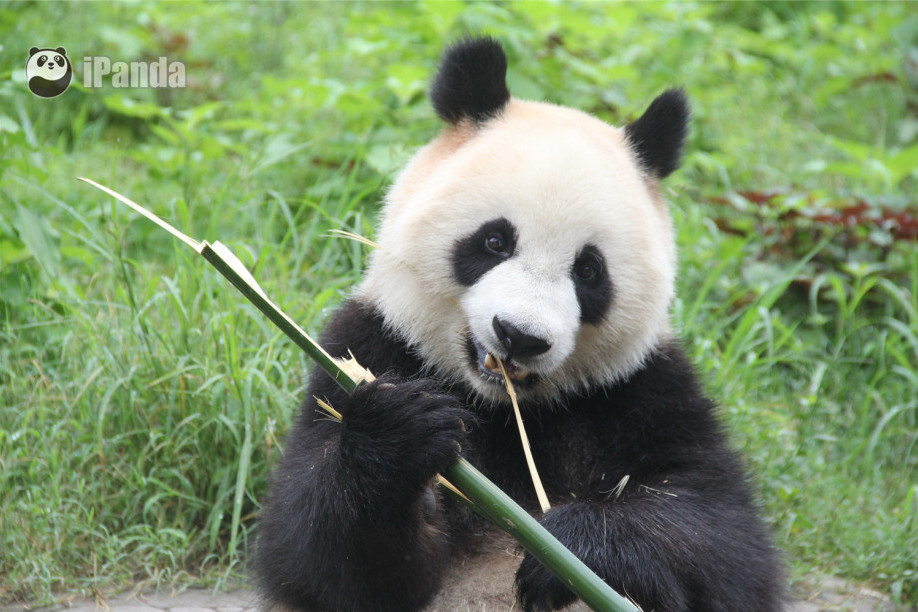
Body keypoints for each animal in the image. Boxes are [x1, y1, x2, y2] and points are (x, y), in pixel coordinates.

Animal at [252, 37, 784, 612]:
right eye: (494, 241)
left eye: (589, 270)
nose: (520, 336)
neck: (506, 408)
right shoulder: (368, 347)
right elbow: (316, 553)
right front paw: (401, 428)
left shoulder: (642, 390)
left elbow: (724, 539)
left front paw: (573, 550)